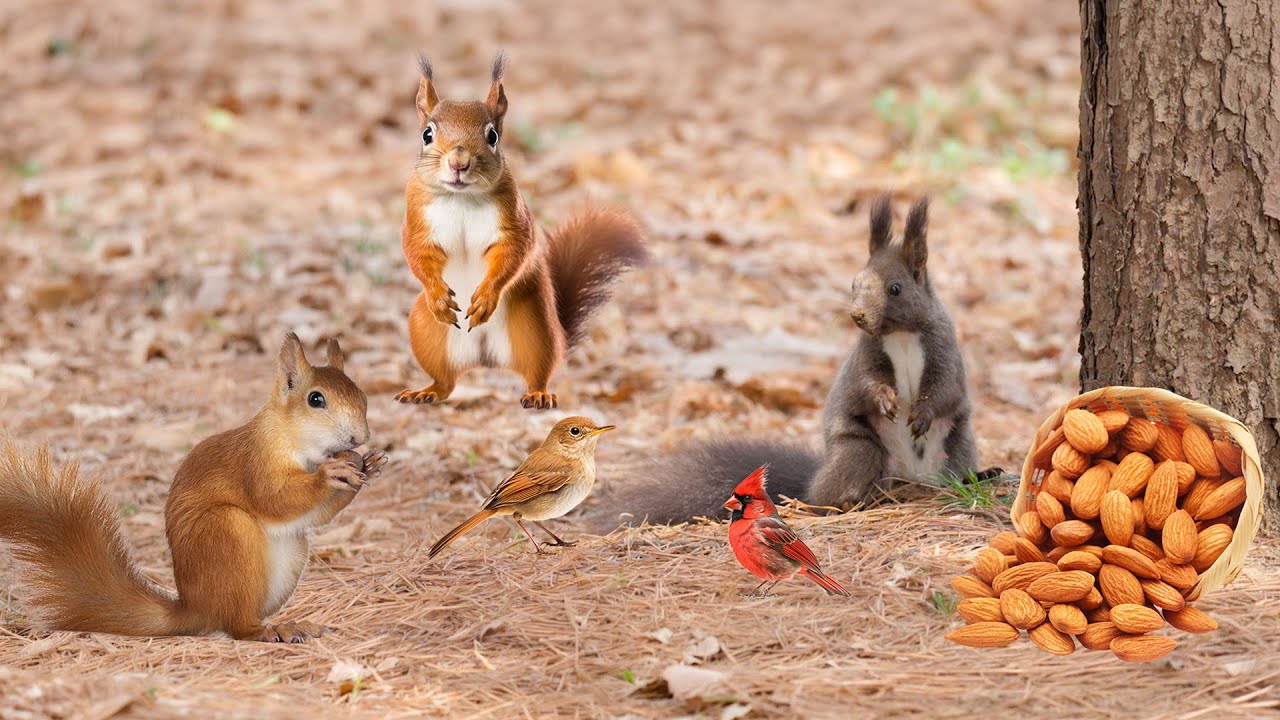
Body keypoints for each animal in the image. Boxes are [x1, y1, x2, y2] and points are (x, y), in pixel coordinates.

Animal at [0, 333, 388, 642]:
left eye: (362, 396)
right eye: (315, 399)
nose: (359, 437)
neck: (293, 441)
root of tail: (195, 607)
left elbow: (317, 515)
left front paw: (371, 462)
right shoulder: (254, 462)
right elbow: (274, 498)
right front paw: (329, 474)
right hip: (226, 533)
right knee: (235, 626)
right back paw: (272, 630)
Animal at [396, 52, 648, 410]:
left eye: (492, 136)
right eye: (427, 134)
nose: (459, 163)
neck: (461, 198)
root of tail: (485, 360)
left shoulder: (514, 221)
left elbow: (513, 252)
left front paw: (486, 297)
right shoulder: (417, 221)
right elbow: (417, 253)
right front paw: (438, 297)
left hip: (535, 327)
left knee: (537, 369)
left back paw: (538, 394)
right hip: (424, 330)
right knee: (445, 381)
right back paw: (426, 391)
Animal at [594, 196, 992, 527]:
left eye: (895, 288)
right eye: (854, 283)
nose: (858, 316)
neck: (901, 336)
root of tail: (910, 481)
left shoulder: (944, 349)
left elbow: (944, 389)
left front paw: (921, 413)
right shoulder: (866, 356)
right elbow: (866, 383)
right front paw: (884, 399)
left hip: (957, 447)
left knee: (955, 468)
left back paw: (979, 477)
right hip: (860, 450)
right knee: (828, 492)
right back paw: (844, 503)